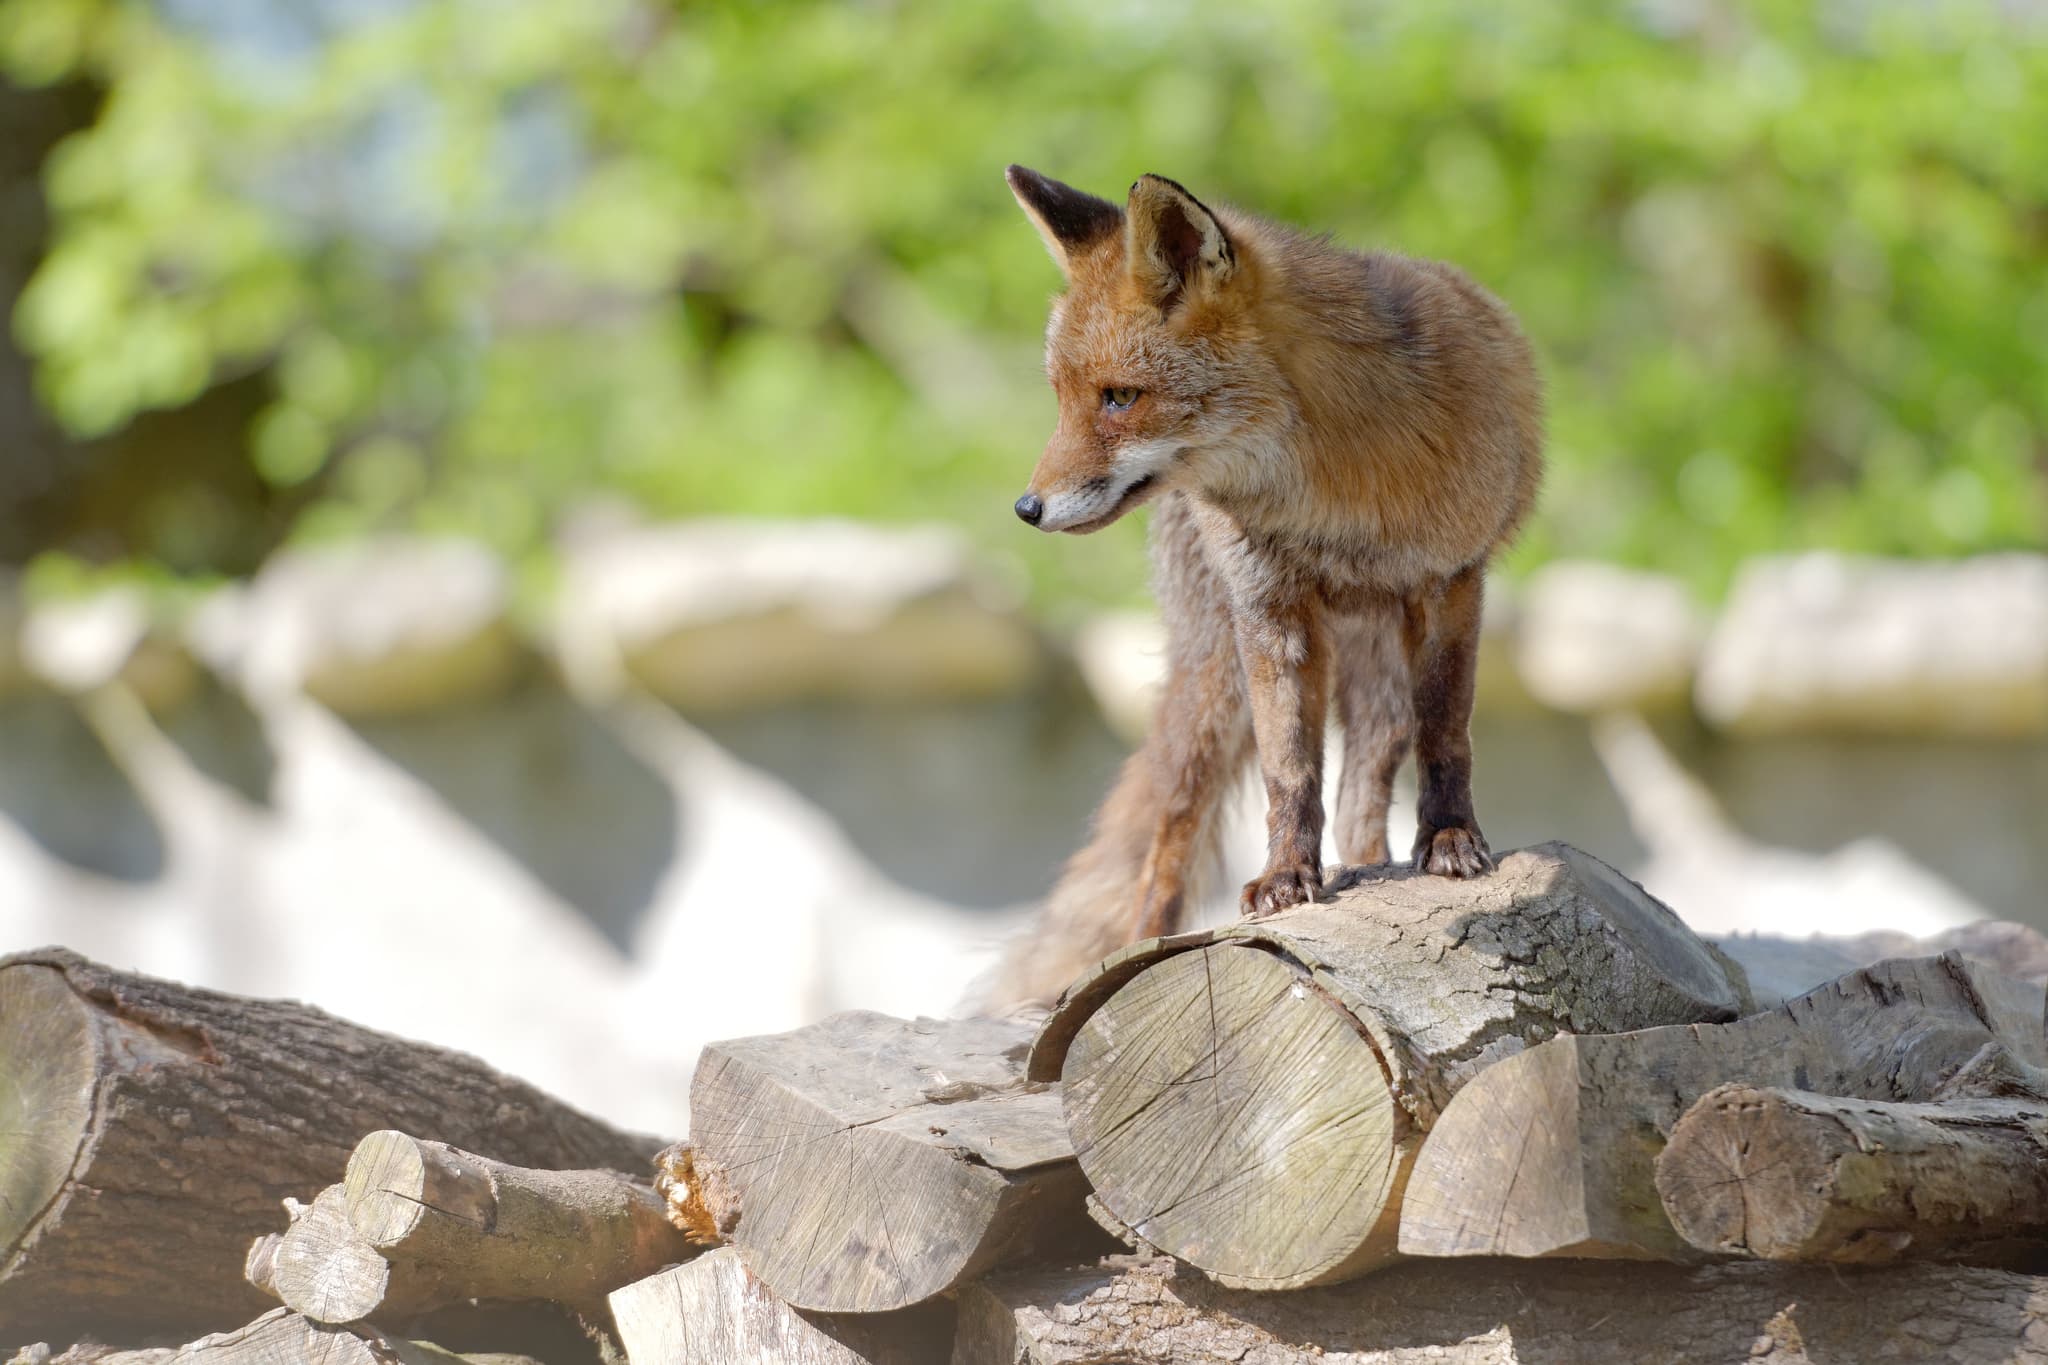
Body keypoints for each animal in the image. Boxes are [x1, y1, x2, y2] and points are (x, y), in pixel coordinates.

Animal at [984, 166, 1543, 1009]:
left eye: (1119, 398)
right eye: (1063, 398)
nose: (1027, 508)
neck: (1331, 500)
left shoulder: (1450, 582)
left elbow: (1447, 733)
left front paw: (1448, 838)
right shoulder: (1269, 606)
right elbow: (1290, 770)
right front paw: (1285, 876)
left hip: (1377, 675)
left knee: (1365, 788)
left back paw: (1368, 861)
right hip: (1217, 686)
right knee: (1170, 836)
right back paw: (1140, 950)